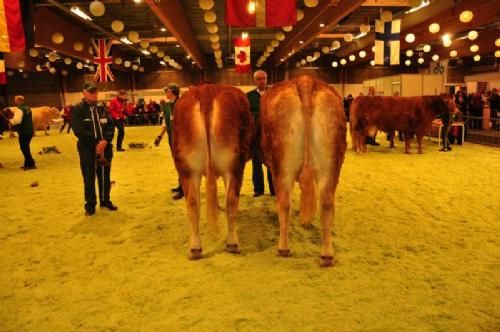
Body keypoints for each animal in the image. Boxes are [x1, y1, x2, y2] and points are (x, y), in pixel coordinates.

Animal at [174, 83, 256, 260]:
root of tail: (207, 89)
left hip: (189, 168)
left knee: (193, 202)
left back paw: (195, 249)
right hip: (232, 165)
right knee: (230, 199)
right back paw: (232, 244)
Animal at [260, 75, 346, 268]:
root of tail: (305, 80)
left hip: (282, 167)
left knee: (284, 203)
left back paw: (283, 248)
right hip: (331, 165)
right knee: (327, 204)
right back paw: (327, 255)